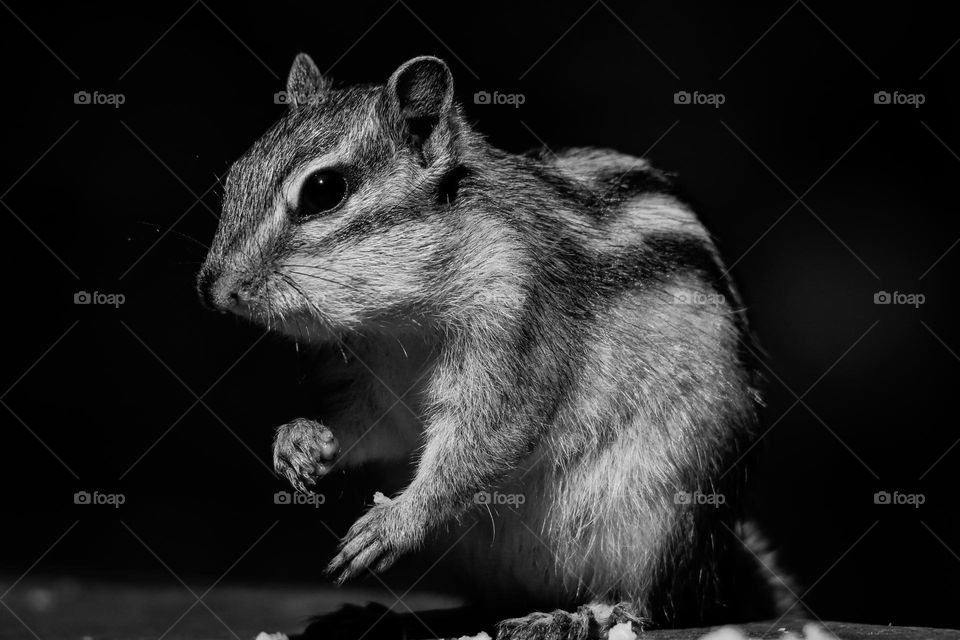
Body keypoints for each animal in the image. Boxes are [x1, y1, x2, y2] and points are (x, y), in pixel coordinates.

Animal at [197, 54, 798, 639]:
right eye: (235, 178)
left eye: (324, 190)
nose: (213, 289)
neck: (399, 326)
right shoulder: (375, 382)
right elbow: (374, 428)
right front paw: (302, 441)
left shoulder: (518, 323)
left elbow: (489, 439)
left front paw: (396, 523)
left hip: (663, 518)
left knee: (648, 604)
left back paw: (573, 617)